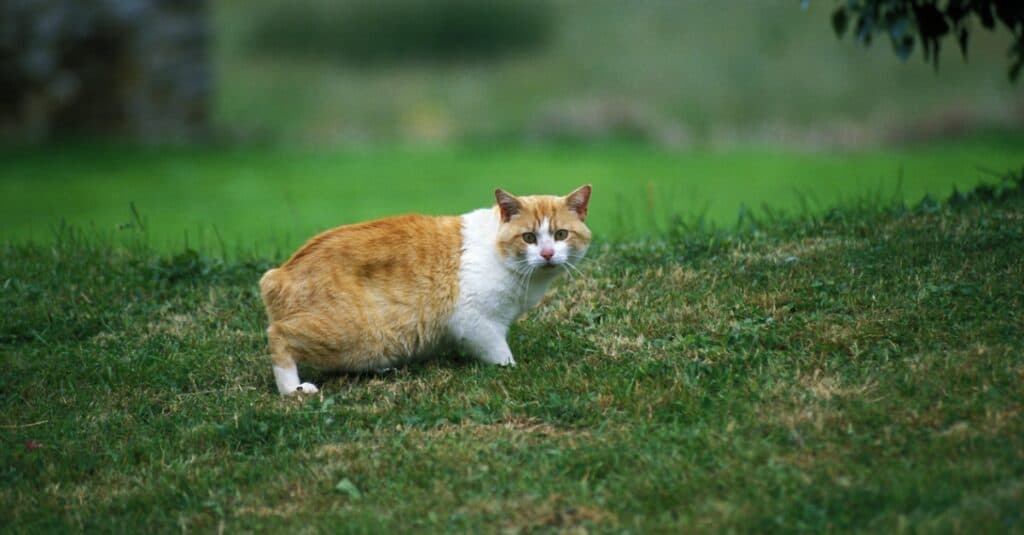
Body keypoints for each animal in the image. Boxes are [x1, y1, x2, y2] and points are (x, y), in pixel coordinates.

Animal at [258, 185, 593, 393]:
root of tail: (278, 274)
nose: (547, 254)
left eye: (561, 235)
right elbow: (500, 354)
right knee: (278, 336)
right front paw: (511, 368)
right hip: (346, 333)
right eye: (529, 238)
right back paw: (292, 390)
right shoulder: (476, 323)